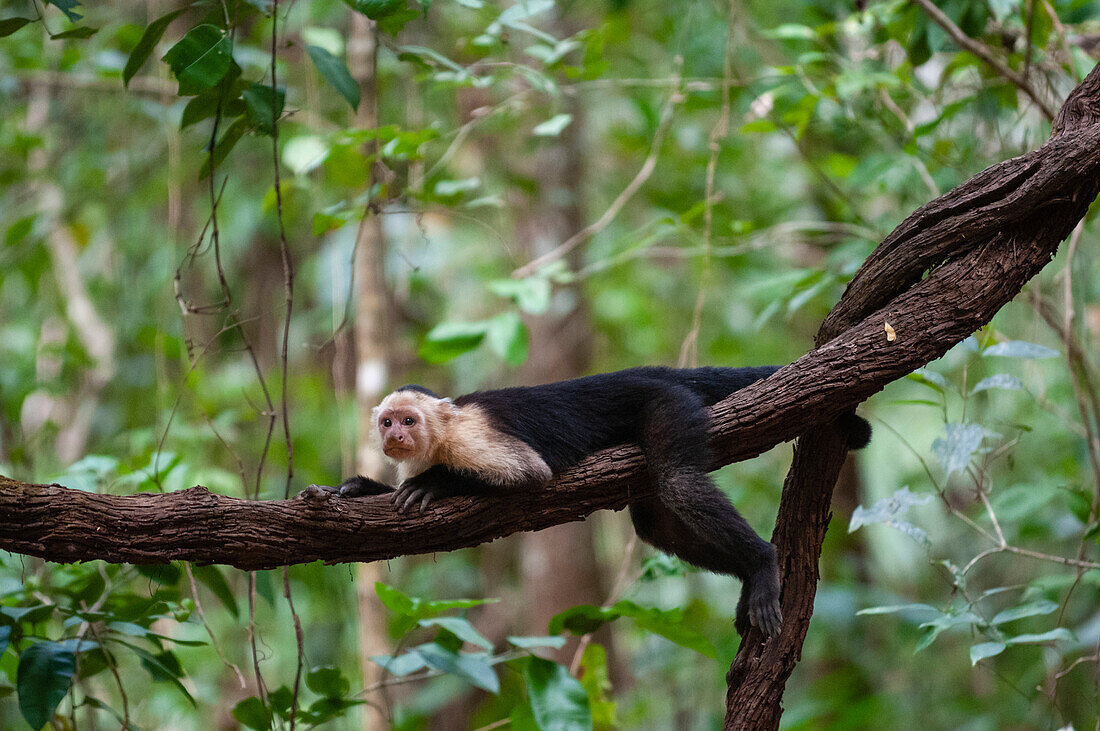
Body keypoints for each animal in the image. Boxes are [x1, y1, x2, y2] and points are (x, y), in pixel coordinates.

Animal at [308, 364, 866, 633]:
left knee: (679, 482)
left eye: (409, 419)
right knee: (656, 523)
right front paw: (362, 487)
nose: (396, 436)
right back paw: (750, 575)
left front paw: (434, 484)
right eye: (387, 422)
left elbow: (528, 474)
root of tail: (656, 372)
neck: (441, 438)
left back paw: (764, 562)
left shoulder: (471, 437)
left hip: (667, 402)